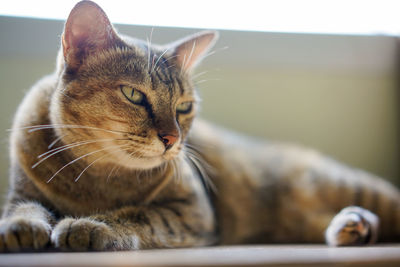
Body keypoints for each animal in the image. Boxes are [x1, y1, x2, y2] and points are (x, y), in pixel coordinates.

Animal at [0, 0, 400, 252]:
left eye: (184, 107)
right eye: (134, 95)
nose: (171, 139)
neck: (96, 178)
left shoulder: (192, 210)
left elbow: (140, 215)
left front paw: (91, 225)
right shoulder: (22, 191)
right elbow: (23, 208)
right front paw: (22, 227)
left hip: (347, 185)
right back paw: (354, 226)